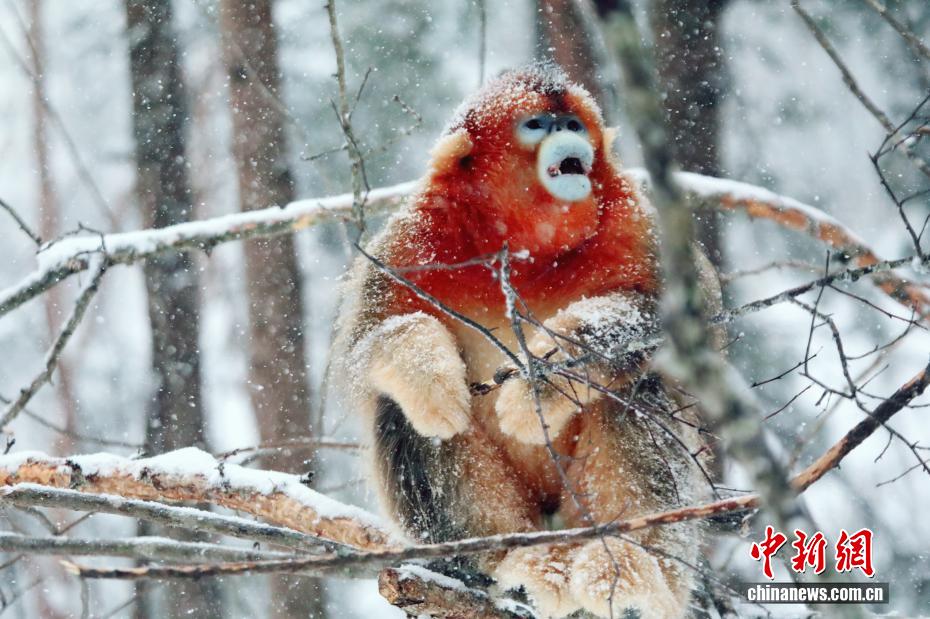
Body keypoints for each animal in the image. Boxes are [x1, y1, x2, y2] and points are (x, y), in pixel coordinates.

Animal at [334, 64, 711, 619]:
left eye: (573, 123)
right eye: (537, 124)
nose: (570, 139)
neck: (526, 251)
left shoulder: (638, 225)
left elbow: (683, 323)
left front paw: (545, 380)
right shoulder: (409, 242)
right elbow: (363, 352)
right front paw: (429, 377)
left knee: (637, 389)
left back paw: (628, 566)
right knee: (400, 414)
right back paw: (515, 563)